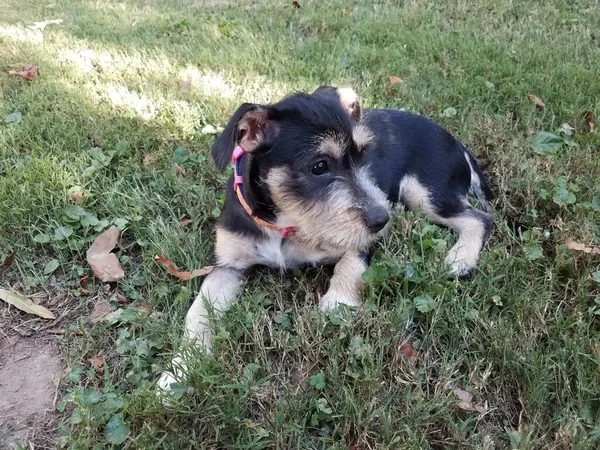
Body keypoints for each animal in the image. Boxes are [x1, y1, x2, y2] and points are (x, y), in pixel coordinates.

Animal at [158, 85, 492, 394]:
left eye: (364, 155)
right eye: (319, 166)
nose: (383, 220)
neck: (285, 222)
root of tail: (455, 141)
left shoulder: (356, 239)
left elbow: (350, 267)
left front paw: (337, 304)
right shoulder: (227, 266)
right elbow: (197, 314)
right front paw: (177, 372)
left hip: (423, 193)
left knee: (480, 218)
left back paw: (460, 259)